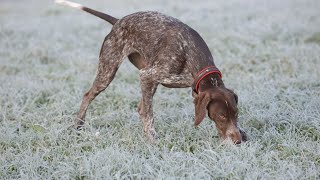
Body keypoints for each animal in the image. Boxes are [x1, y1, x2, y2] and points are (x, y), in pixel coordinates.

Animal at [55, 0, 248, 143]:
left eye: (236, 113)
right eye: (221, 116)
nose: (238, 141)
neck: (190, 52)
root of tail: (117, 21)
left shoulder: (191, 88)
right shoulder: (148, 75)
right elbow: (149, 115)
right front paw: (153, 139)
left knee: (141, 107)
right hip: (108, 71)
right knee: (89, 96)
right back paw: (77, 126)